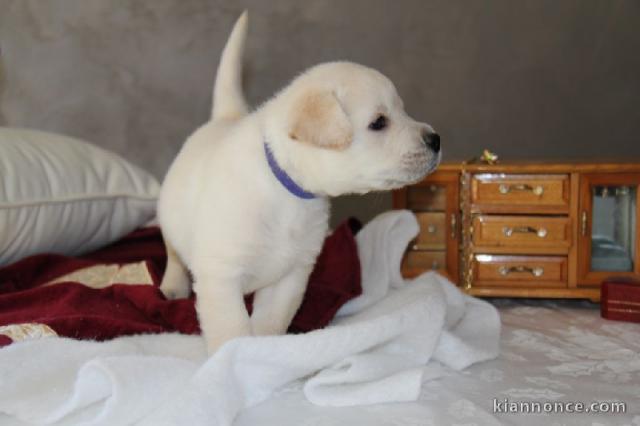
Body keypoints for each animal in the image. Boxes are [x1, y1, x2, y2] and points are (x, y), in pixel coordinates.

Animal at [158, 11, 442, 354]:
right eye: (379, 122)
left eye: (402, 110)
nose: (436, 140)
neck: (286, 190)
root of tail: (224, 118)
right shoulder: (221, 276)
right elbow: (232, 330)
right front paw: (233, 359)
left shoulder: (293, 274)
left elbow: (269, 323)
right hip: (169, 219)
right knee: (173, 252)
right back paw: (173, 285)